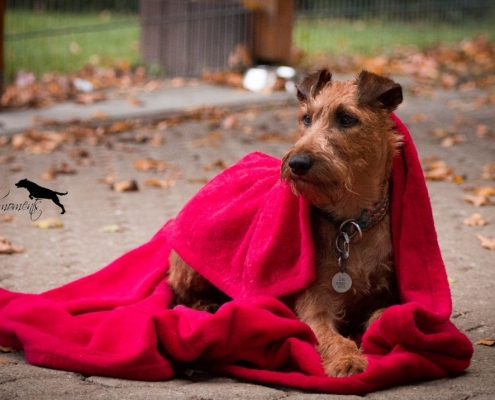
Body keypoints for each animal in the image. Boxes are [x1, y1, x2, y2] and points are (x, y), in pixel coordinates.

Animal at [168, 69, 404, 378]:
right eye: (306, 118)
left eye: (347, 119)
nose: (297, 162)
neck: (351, 223)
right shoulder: (315, 305)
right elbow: (330, 336)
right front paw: (346, 359)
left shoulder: (391, 292)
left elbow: (386, 314)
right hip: (191, 265)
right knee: (179, 295)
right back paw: (207, 306)